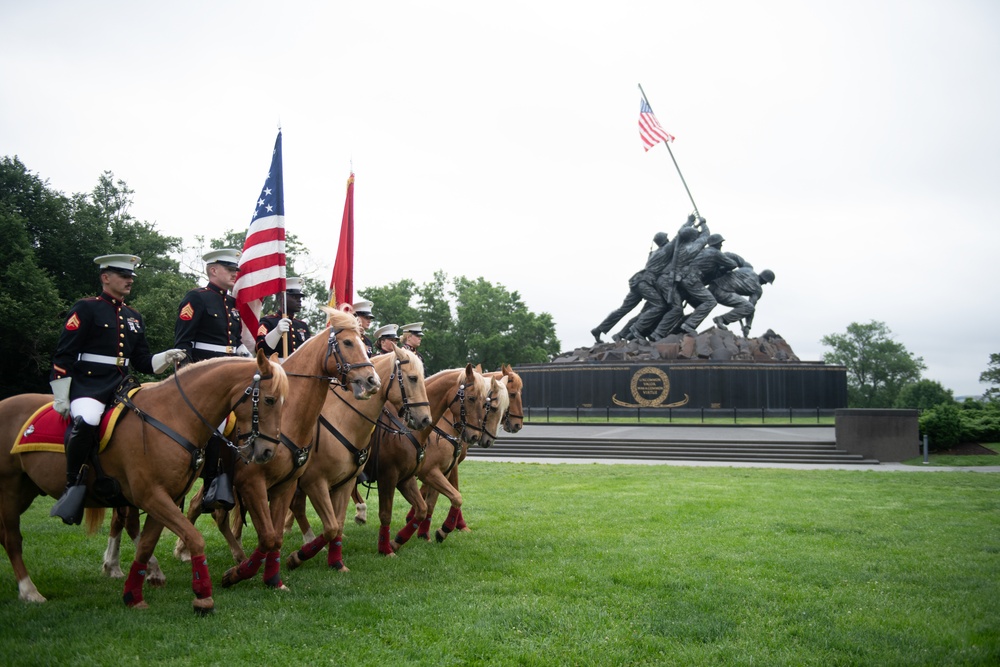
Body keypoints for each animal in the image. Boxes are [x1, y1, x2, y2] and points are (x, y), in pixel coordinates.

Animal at [0, 352, 290, 612]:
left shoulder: (165, 498)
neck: (173, 416)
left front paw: (133, 596)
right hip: (10, 490)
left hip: (26, 490)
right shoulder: (151, 496)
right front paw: (203, 596)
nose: (268, 452)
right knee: (12, 539)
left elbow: (146, 545)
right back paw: (29, 591)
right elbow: (194, 538)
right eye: (269, 399)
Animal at [286, 348, 434, 572]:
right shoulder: (386, 477)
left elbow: (422, 510)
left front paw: (395, 542)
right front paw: (386, 548)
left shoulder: (404, 479)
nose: (425, 419)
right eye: (413, 378)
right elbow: (384, 514)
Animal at [414, 366, 524, 544]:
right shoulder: (434, 468)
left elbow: (434, 497)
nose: (517, 425)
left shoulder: (445, 467)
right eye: (513, 394)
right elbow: (448, 491)